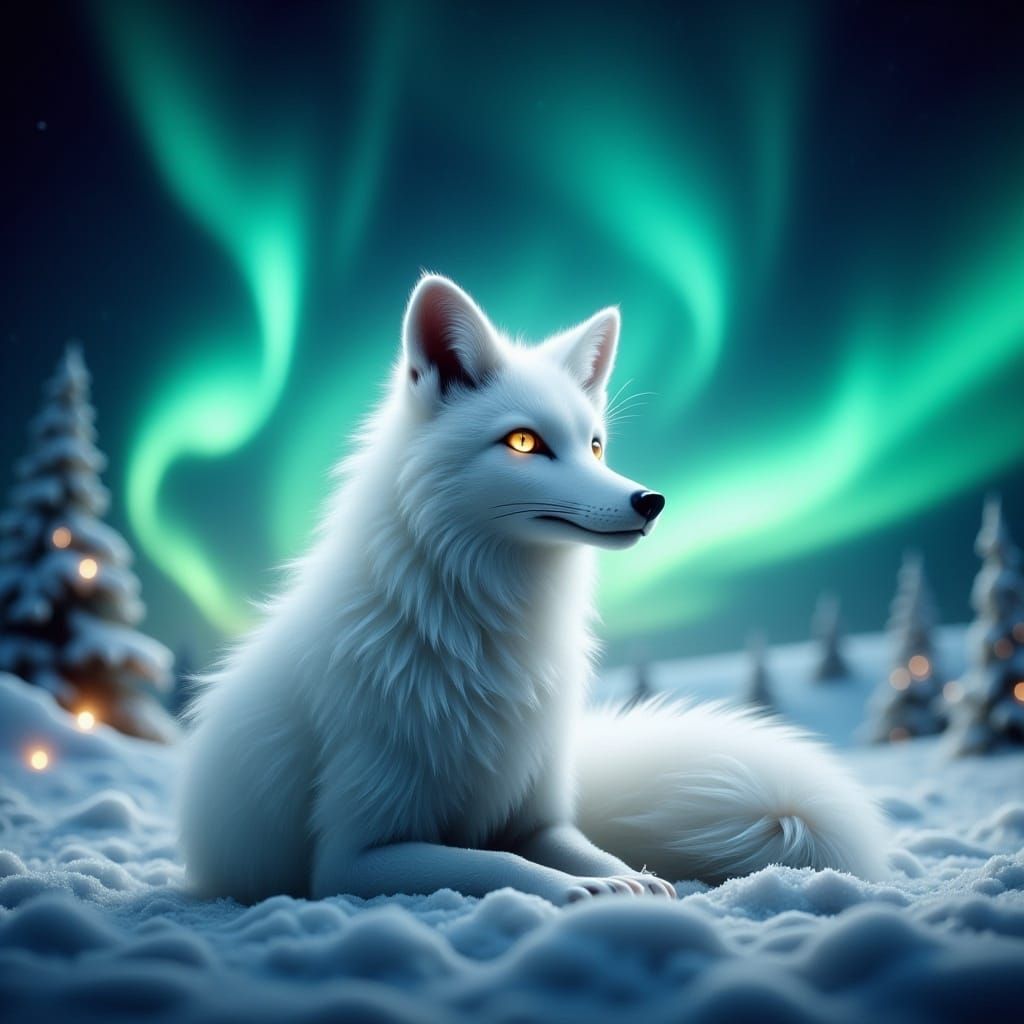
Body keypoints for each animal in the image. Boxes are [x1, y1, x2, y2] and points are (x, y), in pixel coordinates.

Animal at [179, 274, 887, 905]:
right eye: (523, 441)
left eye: (596, 446)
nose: (651, 501)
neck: (478, 635)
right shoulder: (352, 855)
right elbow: (492, 863)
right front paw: (580, 888)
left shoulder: (540, 815)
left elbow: (578, 848)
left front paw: (632, 878)